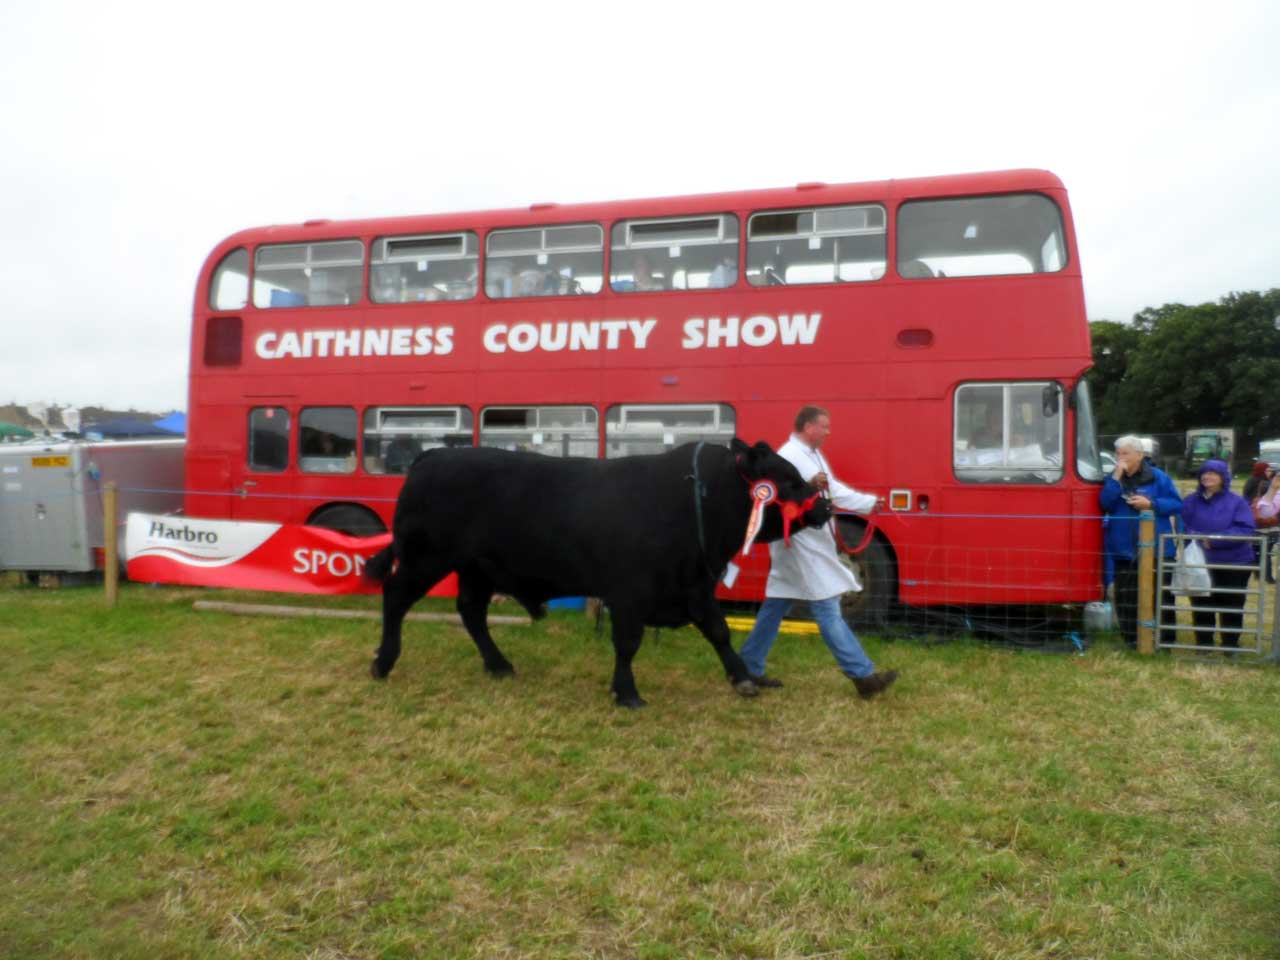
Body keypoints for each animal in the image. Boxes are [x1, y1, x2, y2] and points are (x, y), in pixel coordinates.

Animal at [366, 437, 834, 706]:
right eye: (788, 479)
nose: (826, 506)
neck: (695, 498)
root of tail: (432, 456)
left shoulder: (694, 584)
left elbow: (718, 631)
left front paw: (743, 679)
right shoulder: (630, 592)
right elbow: (627, 643)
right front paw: (626, 692)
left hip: (476, 569)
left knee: (471, 612)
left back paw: (499, 665)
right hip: (425, 558)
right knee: (396, 597)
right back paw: (383, 663)